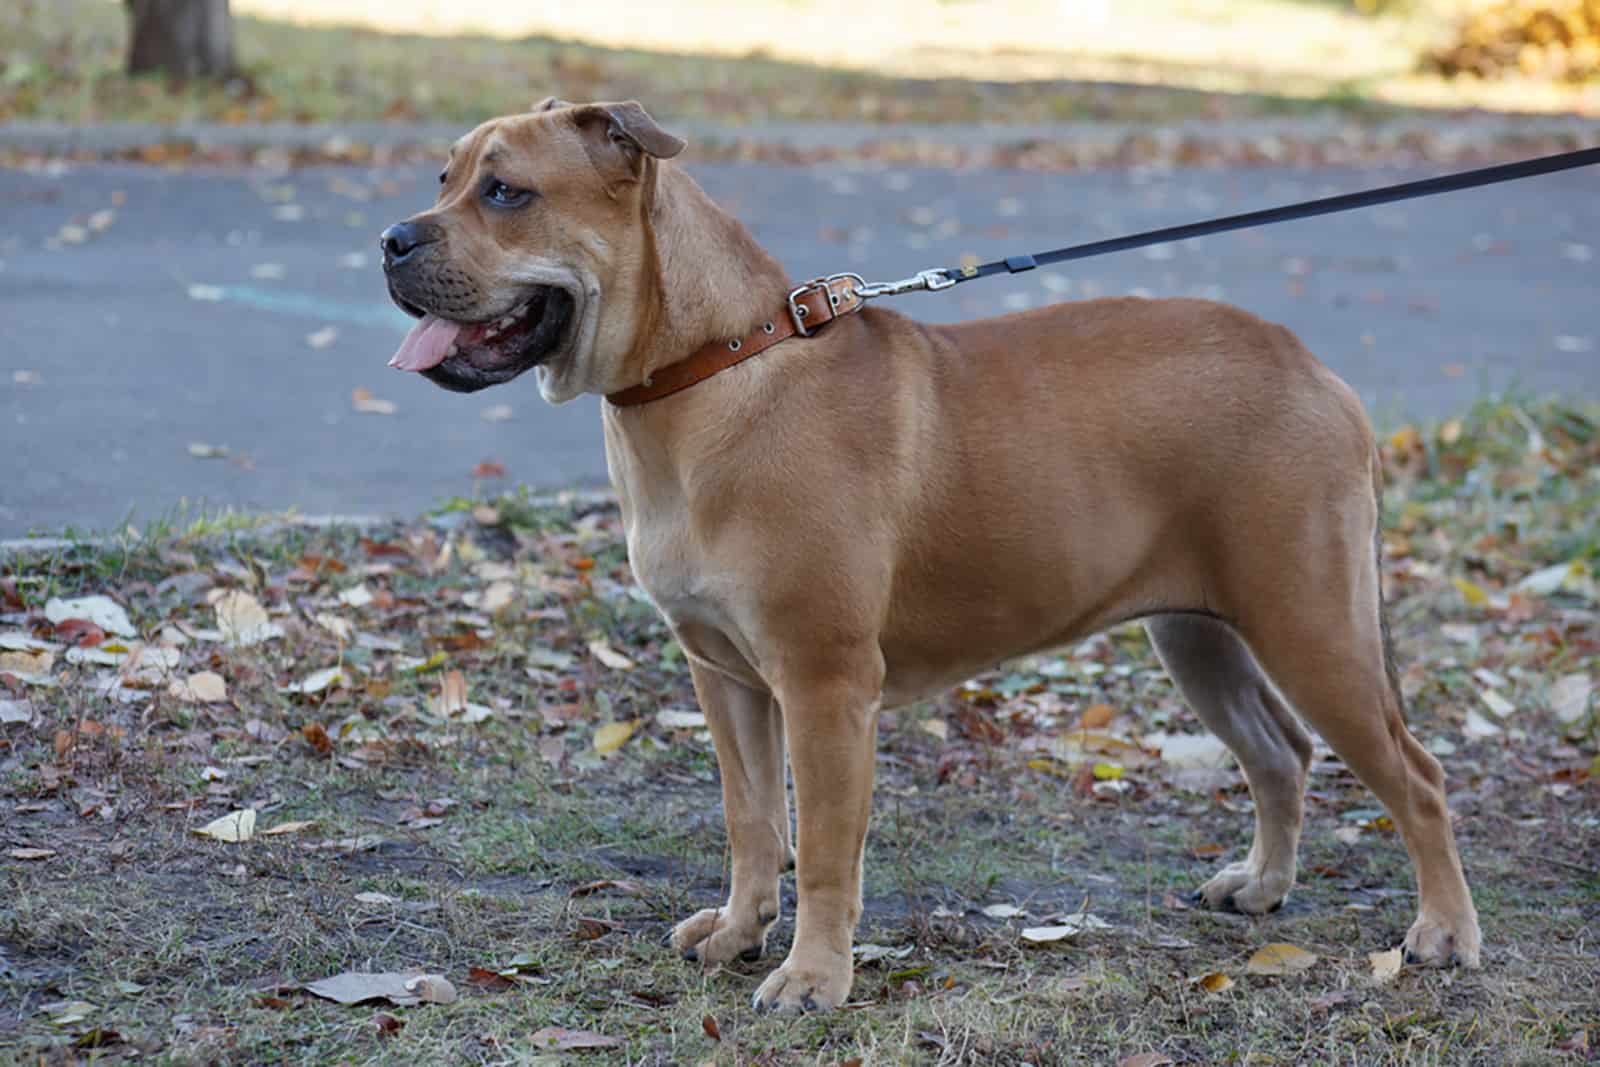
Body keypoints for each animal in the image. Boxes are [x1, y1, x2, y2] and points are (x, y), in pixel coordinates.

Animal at [380, 97, 1478, 1011]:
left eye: (507, 192)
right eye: (443, 177)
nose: (390, 237)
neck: (707, 371)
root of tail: (1312, 368)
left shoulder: (823, 685)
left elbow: (824, 845)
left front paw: (812, 977)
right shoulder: (724, 675)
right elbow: (750, 821)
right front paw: (737, 931)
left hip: (1311, 627)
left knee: (1415, 776)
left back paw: (1441, 933)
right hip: (1199, 636)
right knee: (1278, 753)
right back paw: (1261, 887)